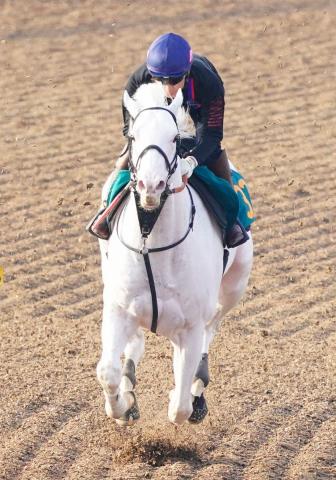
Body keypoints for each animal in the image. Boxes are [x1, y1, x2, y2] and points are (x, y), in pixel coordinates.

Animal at [96, 84, 252, 426]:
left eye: (174, 139)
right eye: (133, 136)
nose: (150, 185)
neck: (151, 245)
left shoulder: (190, 326)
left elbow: (179, 407)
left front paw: (183, 398)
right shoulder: (118, 308)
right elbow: (107, 373)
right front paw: (123, 407)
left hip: (234, 287)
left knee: (212, 329)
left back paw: (198, 387)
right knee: (134, 345)